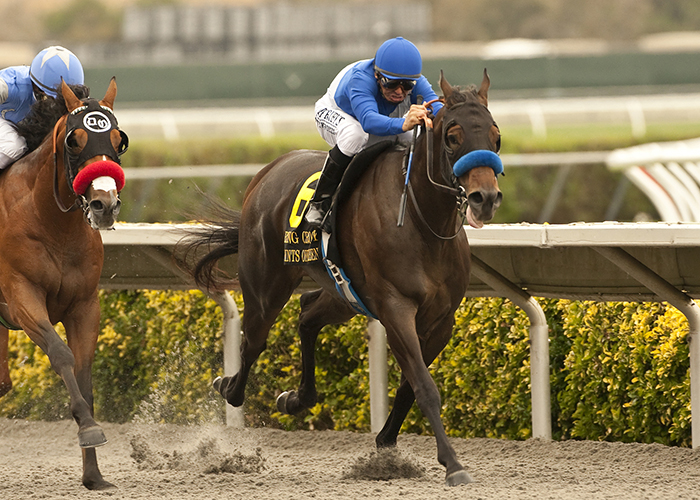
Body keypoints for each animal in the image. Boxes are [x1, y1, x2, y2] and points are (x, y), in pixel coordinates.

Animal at [0, 80, 127, 490]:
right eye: (75, 140)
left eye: (119, 140)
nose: (104, 205)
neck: (52, 223)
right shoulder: (22, 295)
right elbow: (61, 355)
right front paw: (88, 427)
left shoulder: (84, 305)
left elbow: (84, 375)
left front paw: (94, 474)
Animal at [185, 70, 504, 484]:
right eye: (452, 136)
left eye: (496, 136)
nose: (486, 198)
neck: (423, 224)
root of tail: (269, 170)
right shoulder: (395, 309)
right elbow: (424, 386)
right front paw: (453, 463)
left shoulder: (441, 320)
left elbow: (409, 387)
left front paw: (386, 443)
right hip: (265, 286)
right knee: (253, 342)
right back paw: (228, 385)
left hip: (347, 295)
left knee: (307, 315)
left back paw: (296, 398)